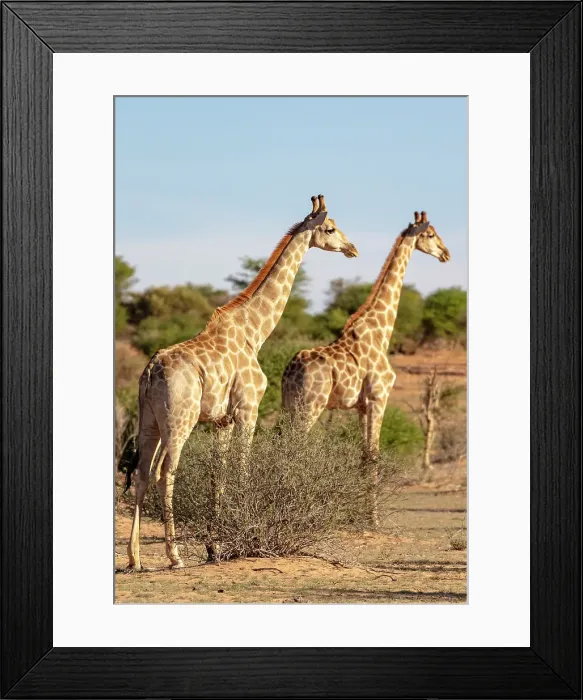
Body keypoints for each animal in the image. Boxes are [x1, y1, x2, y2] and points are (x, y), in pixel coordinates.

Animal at [126, 195, 359, 569]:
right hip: (180, 419)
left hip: (149, 421)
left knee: (143, 473)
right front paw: (245, 534)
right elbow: (243, 469)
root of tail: (149, 371)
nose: (352, 248)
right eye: (330, 228)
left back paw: (134, 558)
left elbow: (217, 476)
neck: (255, 332)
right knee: (165, 472)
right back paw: (174, 556)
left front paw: (215, 547)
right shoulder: (248, 408)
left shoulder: (221, 419)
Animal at [282, 211, 450, 525]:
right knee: (292, 448)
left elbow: (363, 456)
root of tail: (289, 371)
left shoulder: (361, 406)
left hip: (288, 405)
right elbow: (373, 455)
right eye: (431, 234)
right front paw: (374, 519)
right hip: (310, 406)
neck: (381, 330)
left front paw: (362, 515)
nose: (446, 254)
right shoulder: (378, 398)